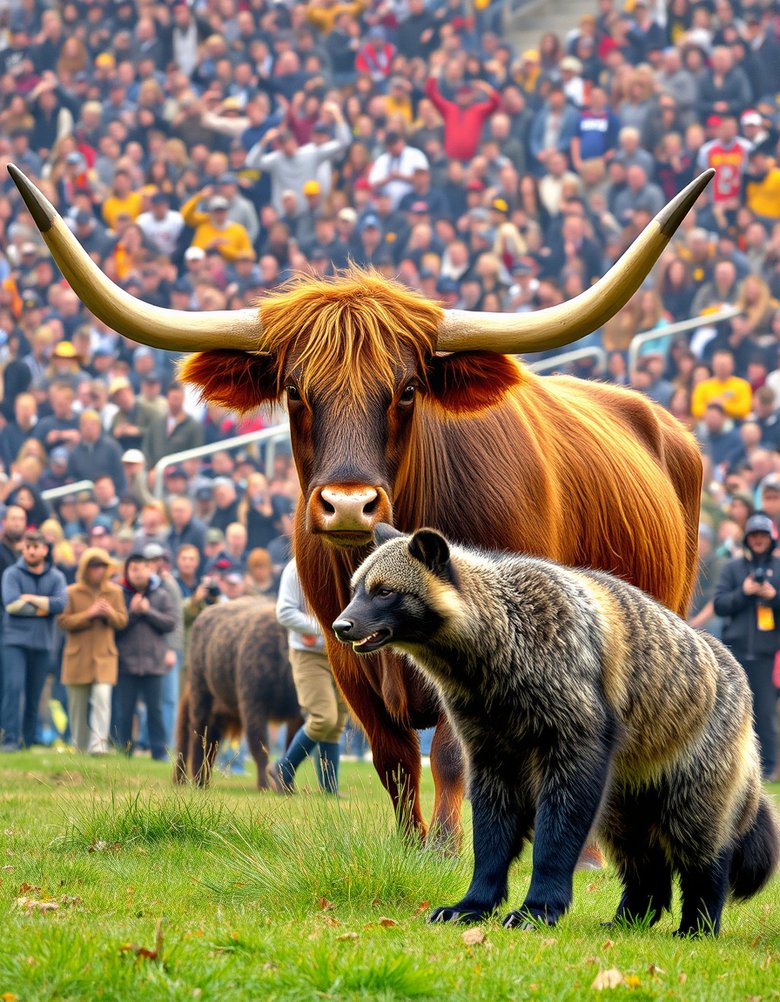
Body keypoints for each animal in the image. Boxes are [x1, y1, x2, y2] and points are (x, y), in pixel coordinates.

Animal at [174, 597, 302, 785]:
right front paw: (264, 784)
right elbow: (260, 747)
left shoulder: (297, 716)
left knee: (208, 744)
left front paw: (287, 786)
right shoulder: (253, 706)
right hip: (200, 700)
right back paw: (197, 780)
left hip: (218, 714)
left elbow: (291, 748)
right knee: (195, 738)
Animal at [334, 525, 777, 937]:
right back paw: (630, 916)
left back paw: (697, 923)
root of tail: (735, 673)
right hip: (629, 789)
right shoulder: (488, 741)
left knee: (702, 845)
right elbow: (491, 832)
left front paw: (538, 908)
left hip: (692, 764)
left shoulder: (573, 726)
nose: (341, 625)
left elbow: (558, 829)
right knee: (641, 854)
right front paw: (472, 904)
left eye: (385, 591)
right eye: (356, 588)